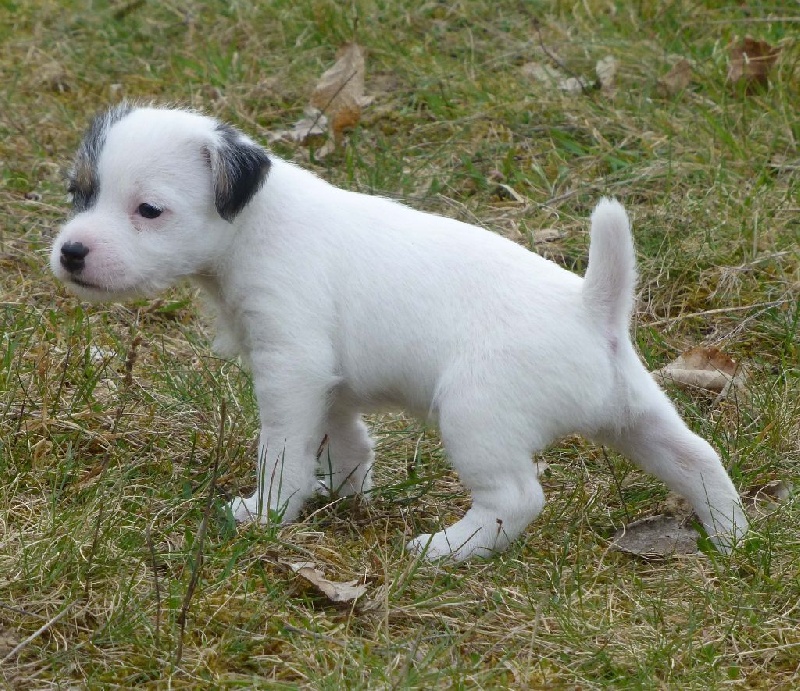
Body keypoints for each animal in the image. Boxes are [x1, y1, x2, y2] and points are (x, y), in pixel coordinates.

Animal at [51, 105, 752, 564]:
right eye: (80, 192)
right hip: (637, 415)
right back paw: (733, 537)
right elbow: (345, 441)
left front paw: (268, 513)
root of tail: (590, 309)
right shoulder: (325, 383)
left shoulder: (290, 367)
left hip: (475, 417)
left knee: (518, 498)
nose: (71, 253)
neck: (255, 223)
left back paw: (446, 549)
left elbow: (283, 452)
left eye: (149, 210)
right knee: (698, 458)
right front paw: (339, 493)